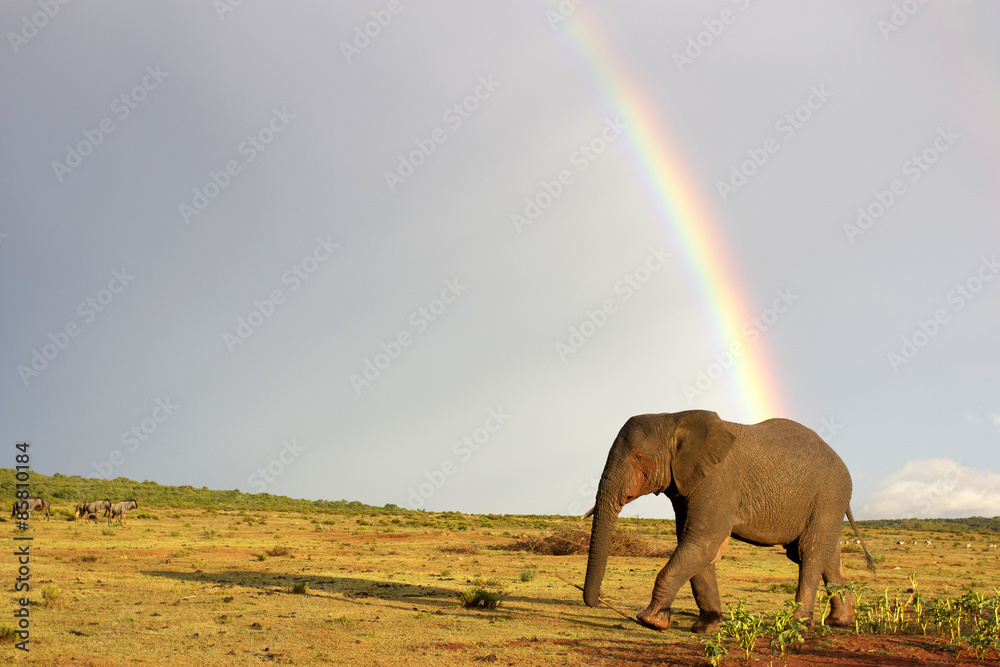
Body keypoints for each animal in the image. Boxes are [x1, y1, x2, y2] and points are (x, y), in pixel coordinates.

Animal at [583, 410, 873, 633]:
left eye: (639, 458)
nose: (599, 600)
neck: (674, 418)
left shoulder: (716, 481)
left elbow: (702, 543)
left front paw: (650, 621)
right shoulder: (687, 484)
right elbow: (697, 546)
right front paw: (706, 628)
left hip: (828, 495)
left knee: (809, 554)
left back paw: (799, 625)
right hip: (825, 501)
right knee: (828, 556)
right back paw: (841, 621)